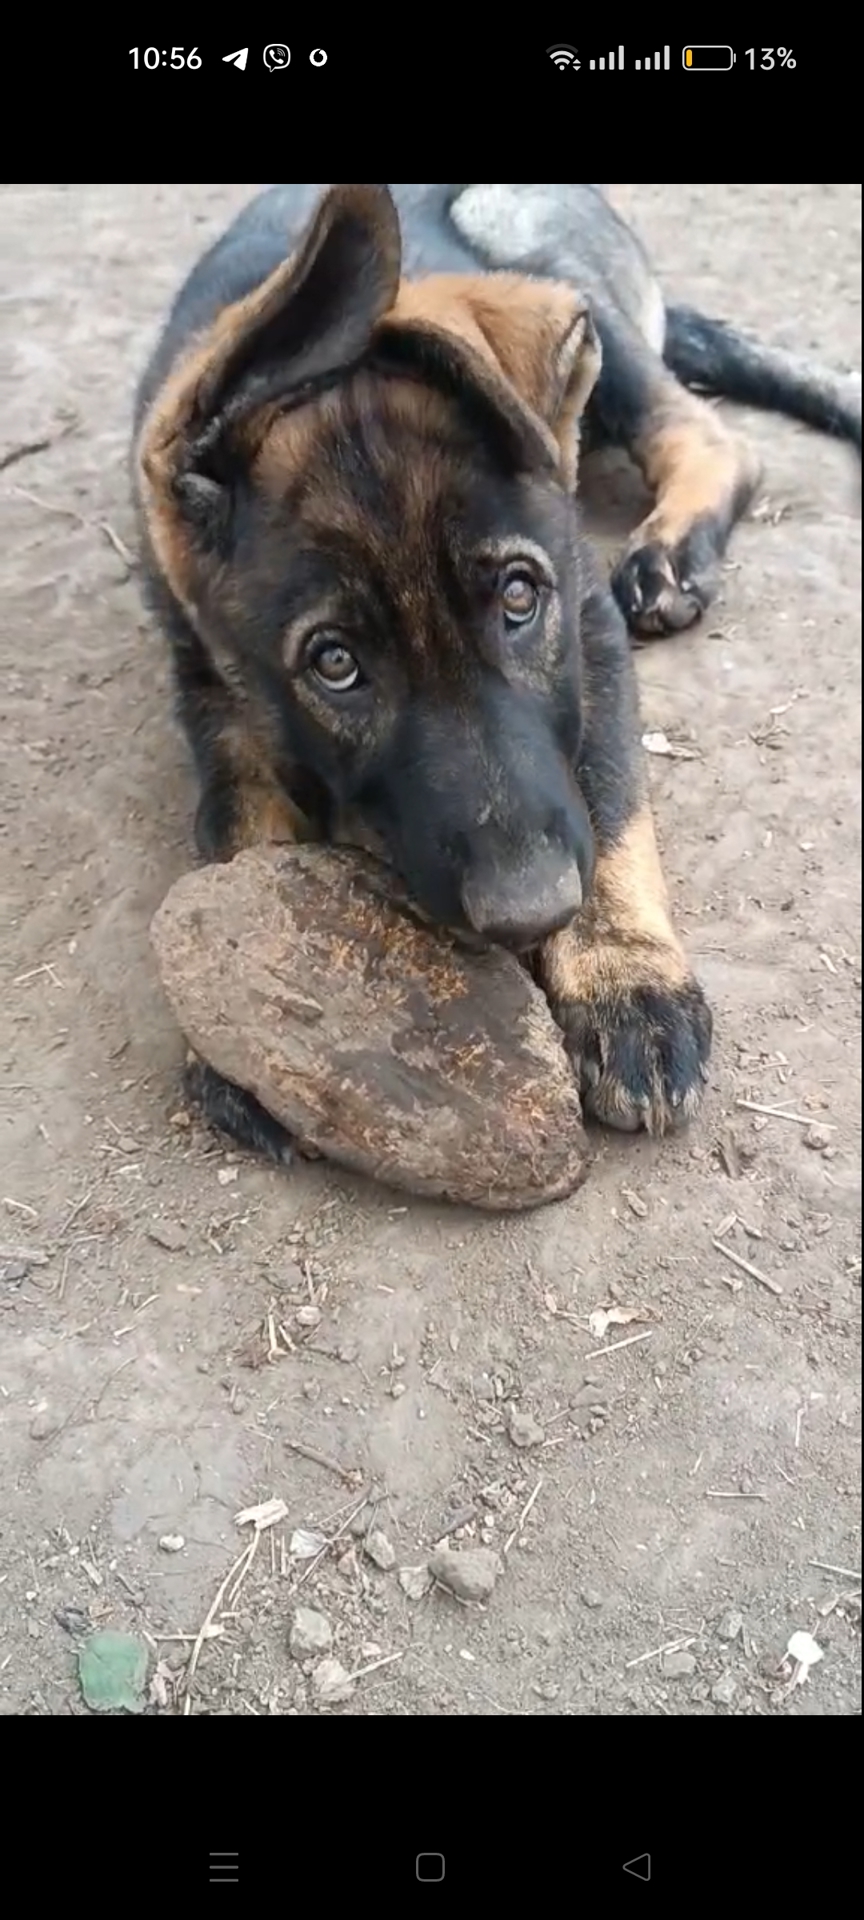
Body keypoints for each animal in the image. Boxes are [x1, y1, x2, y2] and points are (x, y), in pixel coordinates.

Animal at [131, 183, 860, 1167]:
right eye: (335, 664)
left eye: (519, 597)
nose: (531, 914)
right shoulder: (214, 689)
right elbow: (238, 823)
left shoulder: (587, 626)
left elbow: (610, 796)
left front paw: (623, 974)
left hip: (530, 241)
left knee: (710, 435)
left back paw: (672, 554)